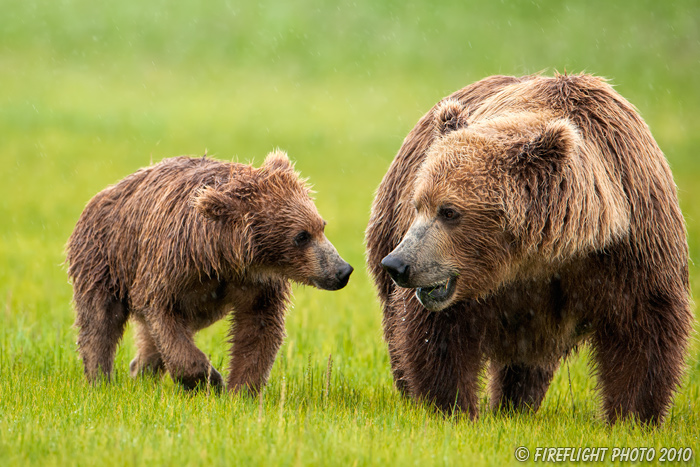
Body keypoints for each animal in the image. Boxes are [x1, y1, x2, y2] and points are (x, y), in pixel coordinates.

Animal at [66, 152, 352, 394]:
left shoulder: (257, 284)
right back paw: (99, 380)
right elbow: (163, 315)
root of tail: (103, 193)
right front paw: (210, 379)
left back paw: (141, 371)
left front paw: (241, 391)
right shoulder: (171, 265)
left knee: (148, 336)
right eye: (301, 236)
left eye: (321, 226)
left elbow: (258, 329)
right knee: (100, 319)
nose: (342, 270)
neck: (224, 256)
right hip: (105, 257)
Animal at [366, 73, 696, 424]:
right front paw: (452, 408)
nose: (398, 264)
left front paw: (633, 417)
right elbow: (438, 336)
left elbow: (643, 330)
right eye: (419, 205)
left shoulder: (632, 245)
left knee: (527, 362)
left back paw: (516, 406)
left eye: (449, 211)